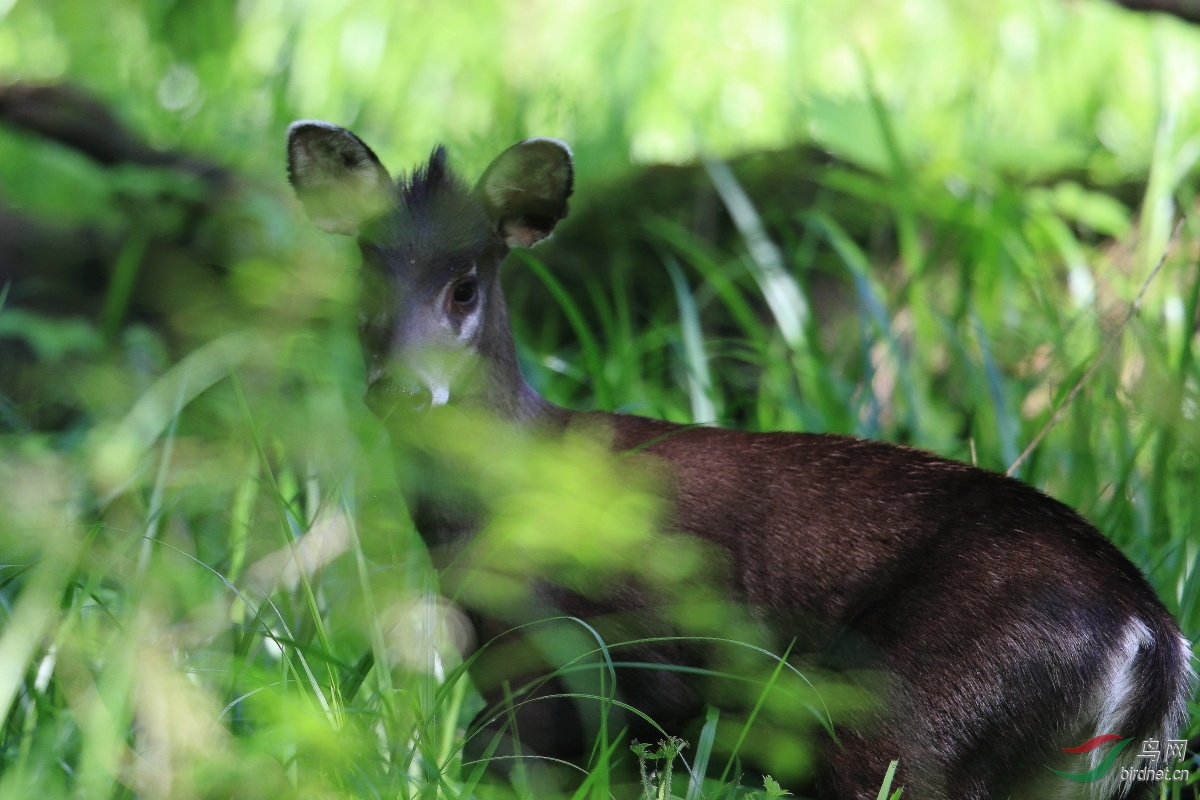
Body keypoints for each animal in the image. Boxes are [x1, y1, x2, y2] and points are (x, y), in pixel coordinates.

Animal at [285, 120, 1195, 800]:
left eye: (465, 285)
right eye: (367, 277)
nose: (400, 390)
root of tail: (1149, 634)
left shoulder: (617, 664)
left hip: (907, 715)